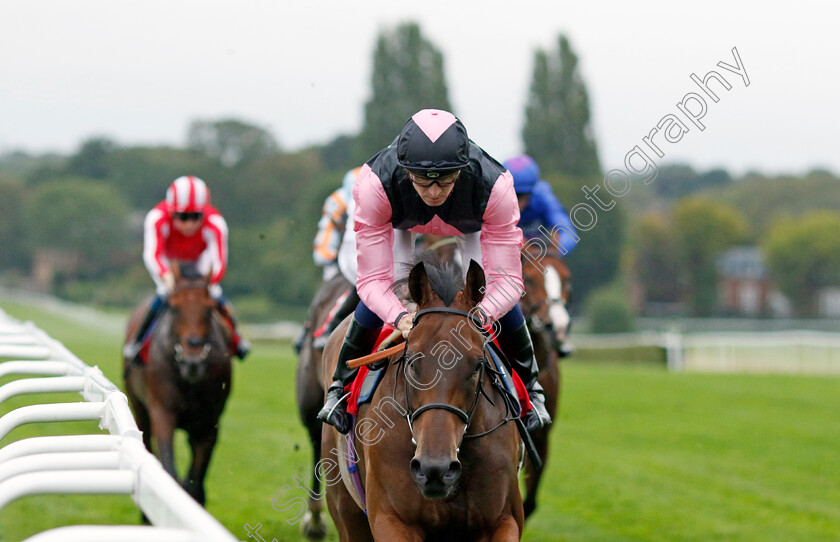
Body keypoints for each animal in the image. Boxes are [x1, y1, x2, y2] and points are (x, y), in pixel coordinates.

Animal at [122, 262, 233, 506]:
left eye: (210, 309)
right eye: (174, 308)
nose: (193, 362)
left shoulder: (209, 424)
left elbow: (194, 484)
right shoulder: (162, 413)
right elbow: (168, 473)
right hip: (139, 408)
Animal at [324, 260, 524, 542]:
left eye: (477, 365)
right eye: (411, 361)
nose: (435, 469)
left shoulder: (504, 521)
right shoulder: (391, 520)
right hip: (346, 512)